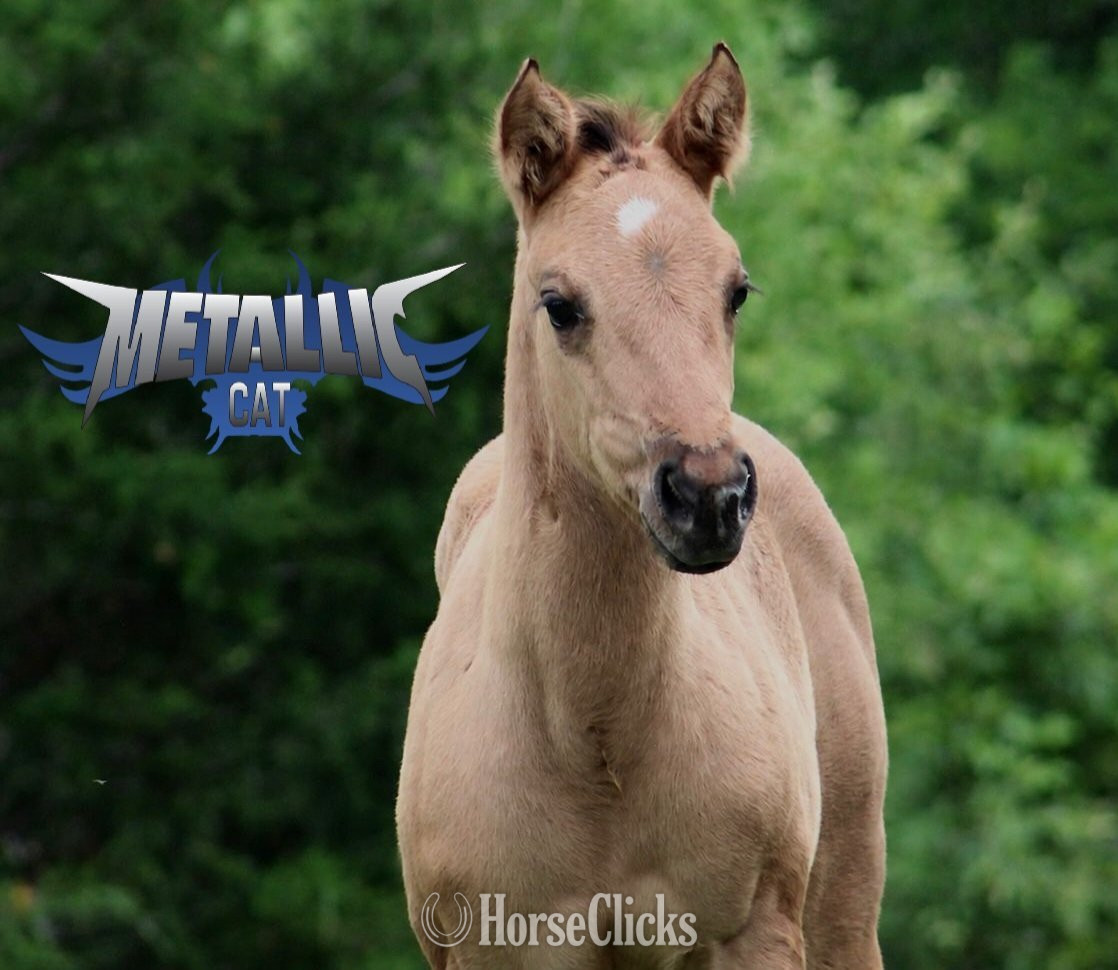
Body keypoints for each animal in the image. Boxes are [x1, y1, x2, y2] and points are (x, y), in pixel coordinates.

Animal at [396, 43, 887, 969]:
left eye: (737, 291)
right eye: (559, 305)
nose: (708, 495)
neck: (597, 749)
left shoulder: (754, 934)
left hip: (843, 905)